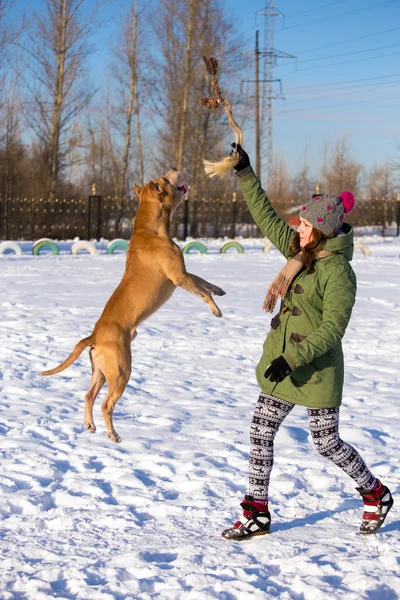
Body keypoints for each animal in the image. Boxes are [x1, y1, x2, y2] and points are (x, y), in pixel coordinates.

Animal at [40, 169, 225, 440]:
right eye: (164, 180)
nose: (173, 168)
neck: (150, 226)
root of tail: (95, 336)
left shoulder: (185, 273)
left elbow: (204, 282)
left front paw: (218, 289)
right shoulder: (179, 277)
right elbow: (201, 292)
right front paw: (215, 309)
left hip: (100, 372)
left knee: (88, 396)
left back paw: (90, 425)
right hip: (121, 371)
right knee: (106, 404)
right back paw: (113, 435)